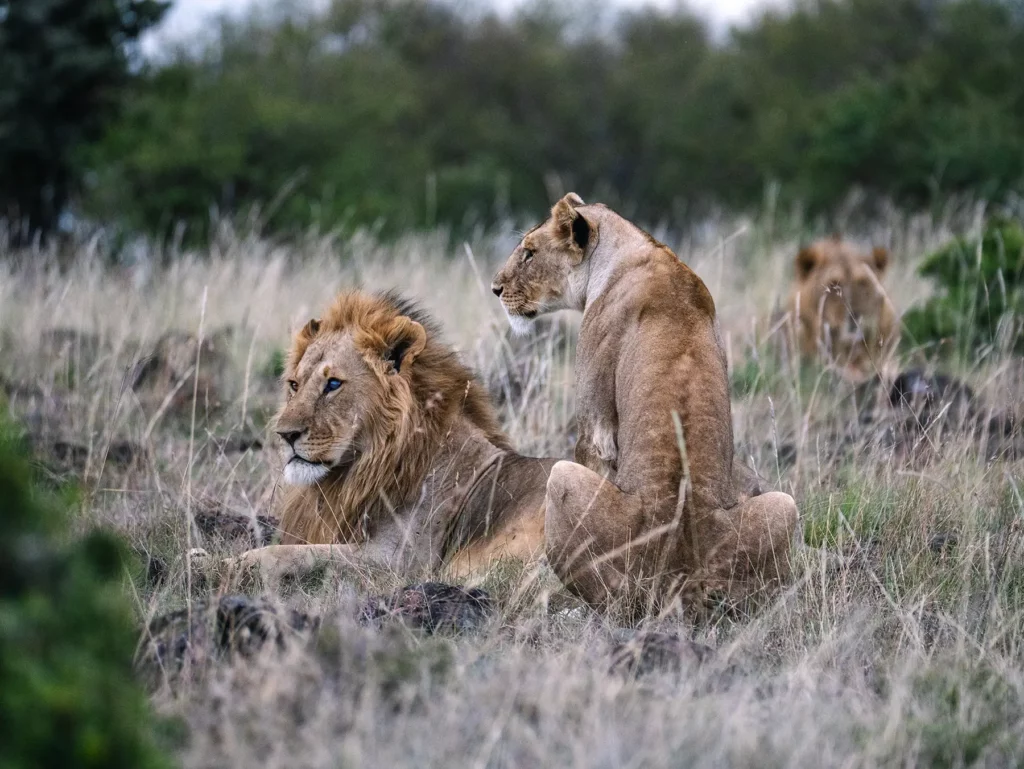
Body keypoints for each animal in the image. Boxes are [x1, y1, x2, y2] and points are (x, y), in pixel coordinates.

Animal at [210, 290, 556, 584]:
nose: (285, 434)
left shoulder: (400, 561)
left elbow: (289, 553)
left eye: (333, 384)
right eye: (294, 385)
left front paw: (221, 565)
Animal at [491, 193, 798, 611]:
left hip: (564, 479)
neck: (633, 249)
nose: (495, 288)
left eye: (529, 253)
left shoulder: (595, 423)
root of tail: (680, 578)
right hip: (785, 507)